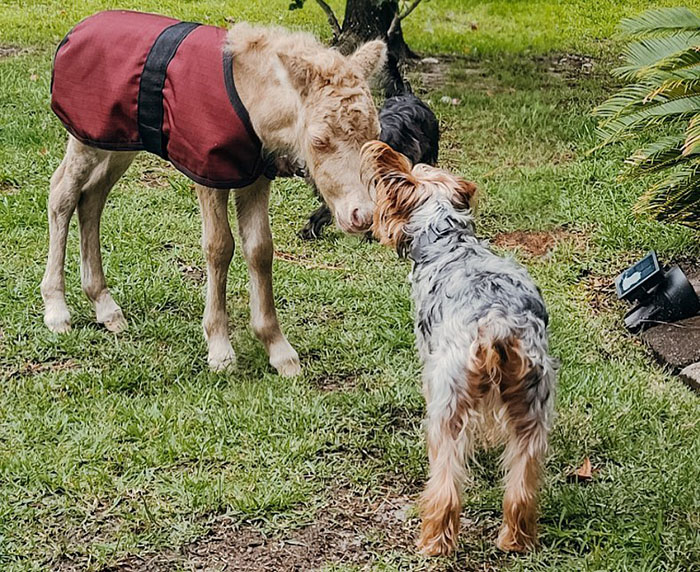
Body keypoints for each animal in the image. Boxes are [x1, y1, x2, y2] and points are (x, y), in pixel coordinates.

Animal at [364, 141, 556, 556]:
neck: (449, 241)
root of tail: (497, 323)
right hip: (533, 405)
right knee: (521, 485)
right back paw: (515, 540)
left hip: (447, 403)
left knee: (446, 486)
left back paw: (434, 542)